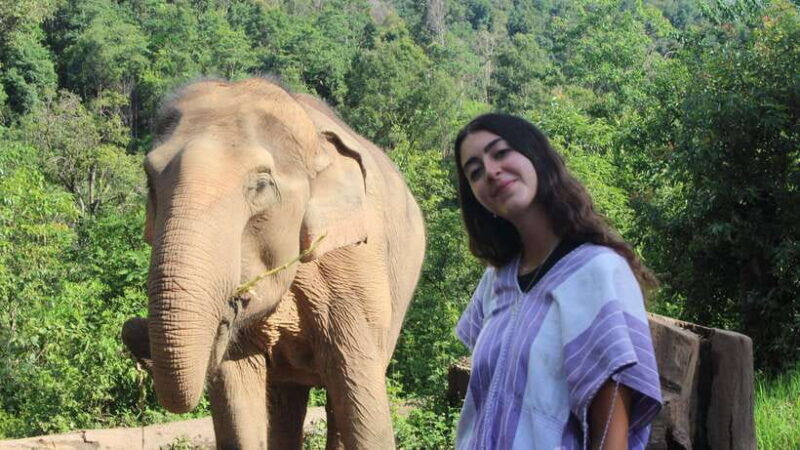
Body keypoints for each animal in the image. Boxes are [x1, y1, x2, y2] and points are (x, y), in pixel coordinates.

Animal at [121, 78, 425, 449]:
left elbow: (362, 400)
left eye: (262, 185)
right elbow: (236, 399)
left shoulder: (354, 270)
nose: (132, 330)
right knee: (286, 399)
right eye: (150, 180)